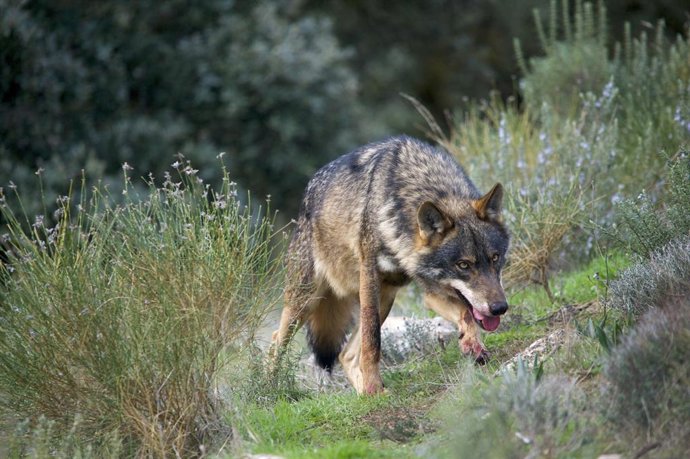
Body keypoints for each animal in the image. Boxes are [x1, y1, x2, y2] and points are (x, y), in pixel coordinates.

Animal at [271, 136, 510, 394]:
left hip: (385, 298)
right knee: (276, 341)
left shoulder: (431, 290)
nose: (500, 308)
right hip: (306, 301)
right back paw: (269, 387)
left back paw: (365, 395)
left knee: (346, 355)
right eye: (463, 265)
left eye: (495, 258)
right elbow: (372, 341)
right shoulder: (370, 278)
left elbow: (465, 313)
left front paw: (472, 344)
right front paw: (373, 385)